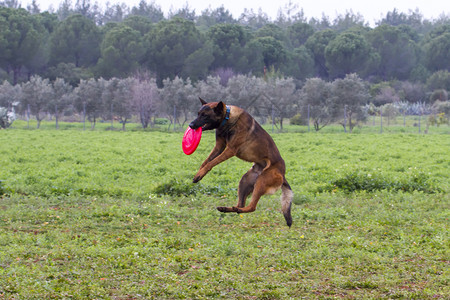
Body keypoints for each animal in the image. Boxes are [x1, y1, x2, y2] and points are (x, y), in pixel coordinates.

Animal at [188, 98, 294, 227]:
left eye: (205, 115)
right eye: (198, 113)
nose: (191, 125)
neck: (228, 119)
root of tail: (283, 175)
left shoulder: (230, 150)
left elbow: (211, 163)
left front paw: (200, 174)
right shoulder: (219, 146)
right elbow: (206, 161)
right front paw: (198, 174)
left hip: (261, 182)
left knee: (252, 207)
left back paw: (238, 209)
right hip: (245, 181)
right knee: (241, 204)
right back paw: (227, 208)